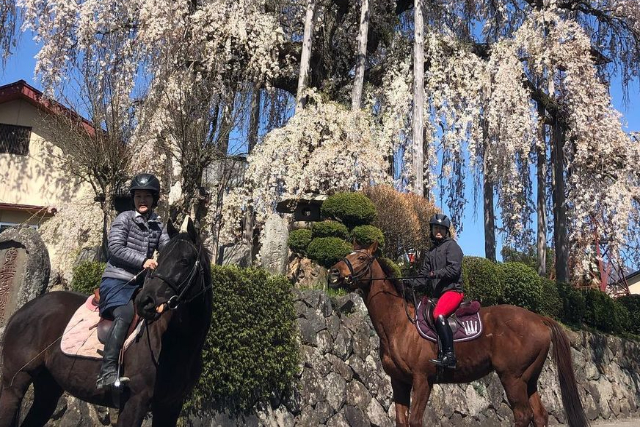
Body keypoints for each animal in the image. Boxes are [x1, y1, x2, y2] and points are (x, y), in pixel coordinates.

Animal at [0, 216, 212, 427]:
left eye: (184, 261)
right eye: (158, 261)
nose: (145, 302)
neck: (175, 344)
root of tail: (22, 311)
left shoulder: (170, 406)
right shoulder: (135, 402)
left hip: (48, 387)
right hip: (14, 385)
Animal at [328, 241, 589, 427]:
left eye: (361, 257)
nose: (333, 273)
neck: (399, 324)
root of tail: (539, 318)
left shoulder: (422, 380)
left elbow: (415, 420)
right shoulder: (398, 381)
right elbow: (401, 421)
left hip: (513, 378)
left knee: (523, 415)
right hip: (529, 378)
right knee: (540, 415)